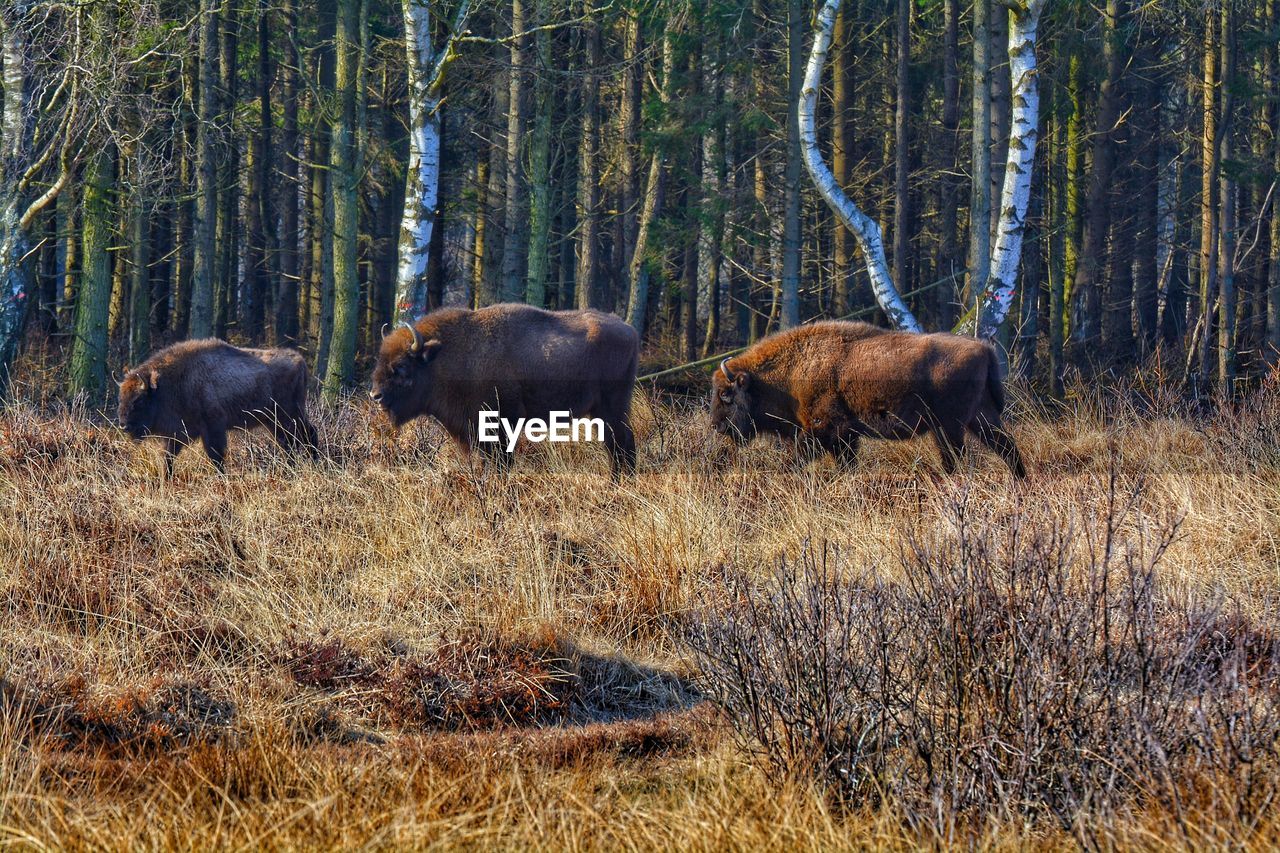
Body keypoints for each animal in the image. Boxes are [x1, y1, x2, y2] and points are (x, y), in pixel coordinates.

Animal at [119, 338, 318, 471]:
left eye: (139, 399)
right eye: (121, 398)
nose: (123, 425)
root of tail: (300, 361)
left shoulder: (213, 426)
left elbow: (216, 456)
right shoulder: (177, 433)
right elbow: (167, 458)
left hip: (288, 415)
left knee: (305, 435)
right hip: (274, 420)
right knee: (294, 440)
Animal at [371, 300, 640, 473]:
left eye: (401, 366)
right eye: (380, 359)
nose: (376, 395)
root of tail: (629, 329)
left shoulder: (501, 425)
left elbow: (502, 462)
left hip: (612, 408)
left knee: (622, 443)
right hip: (601, 412)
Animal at [716, 320, 1024, 479]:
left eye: (725, 394)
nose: (717, 427)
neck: (797, 368)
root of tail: (983, 348)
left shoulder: (824, 429)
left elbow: (800, 458)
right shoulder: (845, 436)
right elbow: (846, 462)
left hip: (950, 426)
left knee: (958, 456)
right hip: (980, 419)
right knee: (1007, 448)